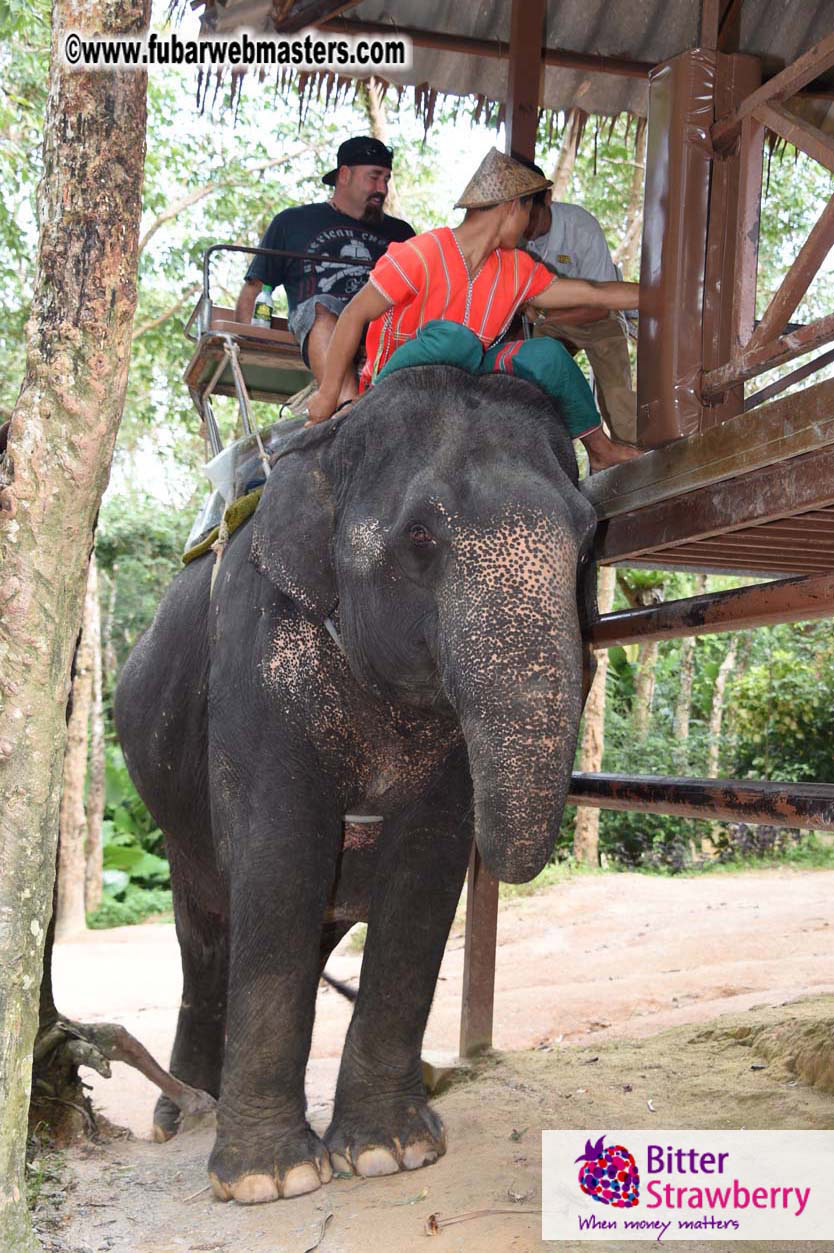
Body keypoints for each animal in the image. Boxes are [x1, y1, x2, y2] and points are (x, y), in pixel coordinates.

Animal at [114, 364, 597, 1205]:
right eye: (421, 537)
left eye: (586, 538)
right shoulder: (256, 665)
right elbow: (283, 855)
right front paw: (273, 1179)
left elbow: (428, 864)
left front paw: (389, 1153)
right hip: (174, 821)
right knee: (206, 937)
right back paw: (183, 1117)